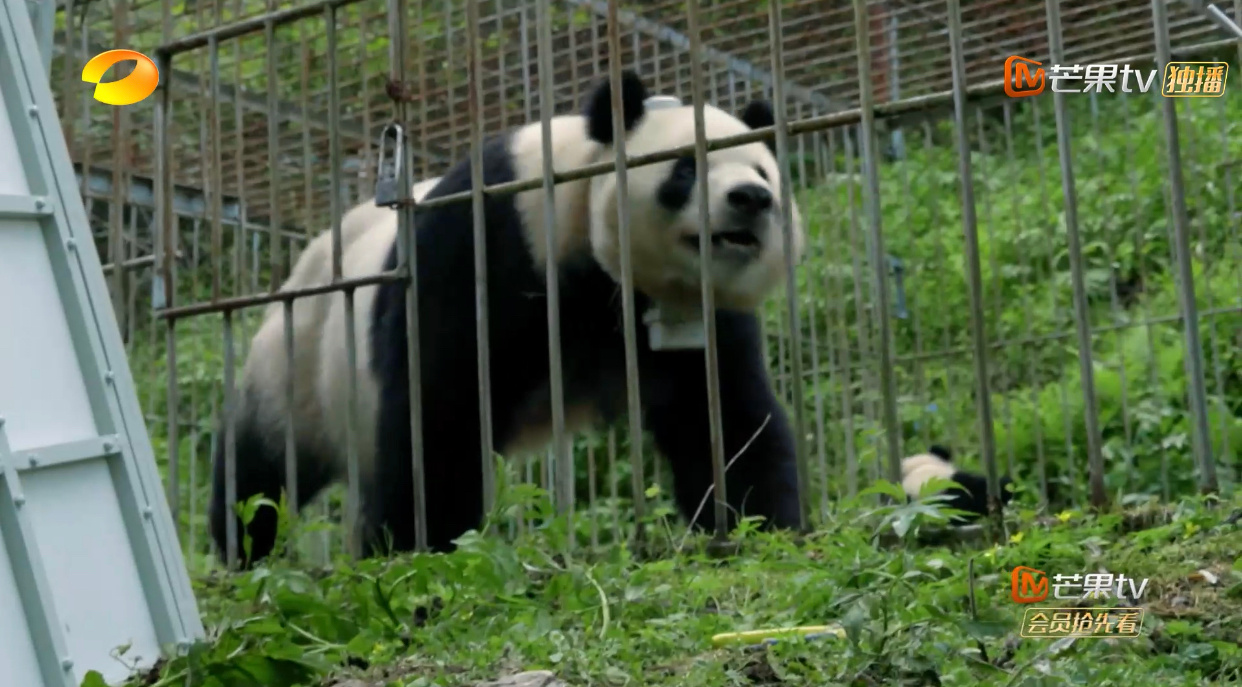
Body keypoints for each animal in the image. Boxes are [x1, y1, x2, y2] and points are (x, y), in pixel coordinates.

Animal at [208, 67, 809, 564]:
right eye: (685, 169)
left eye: (765, 172)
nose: (751, 198)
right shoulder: (490, 243)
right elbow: (439, 408)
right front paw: (420, 545)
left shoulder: (700, 309)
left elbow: (722, 415)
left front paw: (765, 526)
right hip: (300, 354)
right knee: (260, 468)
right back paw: (242, 548)